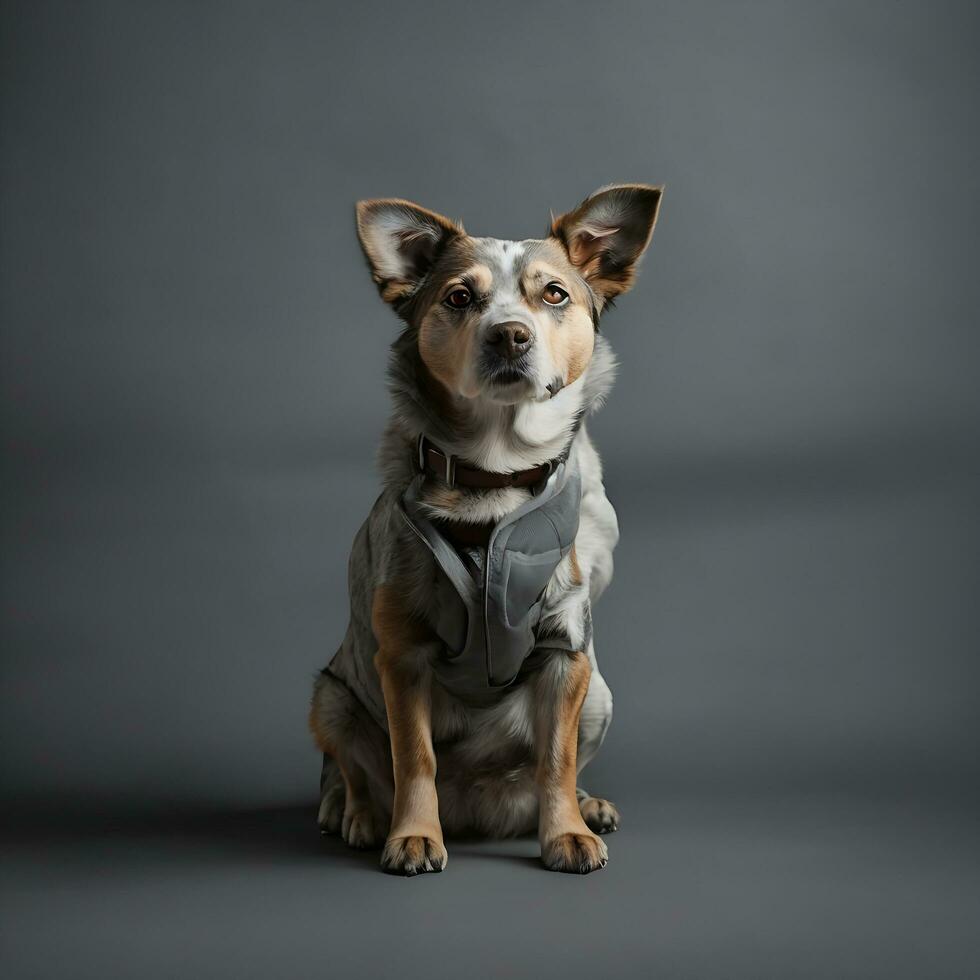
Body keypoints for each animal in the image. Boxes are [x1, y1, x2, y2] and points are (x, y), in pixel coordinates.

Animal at [312, 182, 668, 872]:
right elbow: (413, 758)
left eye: (553, 294)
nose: (509, 336)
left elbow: (555, 759)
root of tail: (480, 808)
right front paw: (413, 834)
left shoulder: (565, 649)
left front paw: (565, 833)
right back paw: (358, 816)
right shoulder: (404, 656)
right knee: (352, 771)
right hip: (331, 698)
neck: (495, 474)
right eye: (459, 297)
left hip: (600, 694)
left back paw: (584, 805)